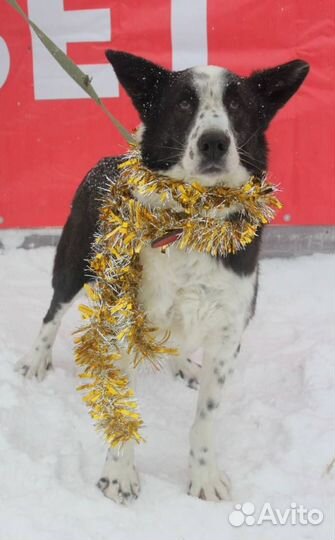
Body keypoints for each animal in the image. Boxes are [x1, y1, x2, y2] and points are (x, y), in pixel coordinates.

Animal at [15, 49, 310, 502]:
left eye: (238, 105)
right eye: (184, 103)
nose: (214, 142)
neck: (189, 223)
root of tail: (105, 160)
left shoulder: (227, 335)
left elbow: (204, 420)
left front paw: (204, 476)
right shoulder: (124, 322)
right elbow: (121, 408)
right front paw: (119, 474)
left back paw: (184, 364)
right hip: (72, 262)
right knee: (52, 314)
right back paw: (36, 360)